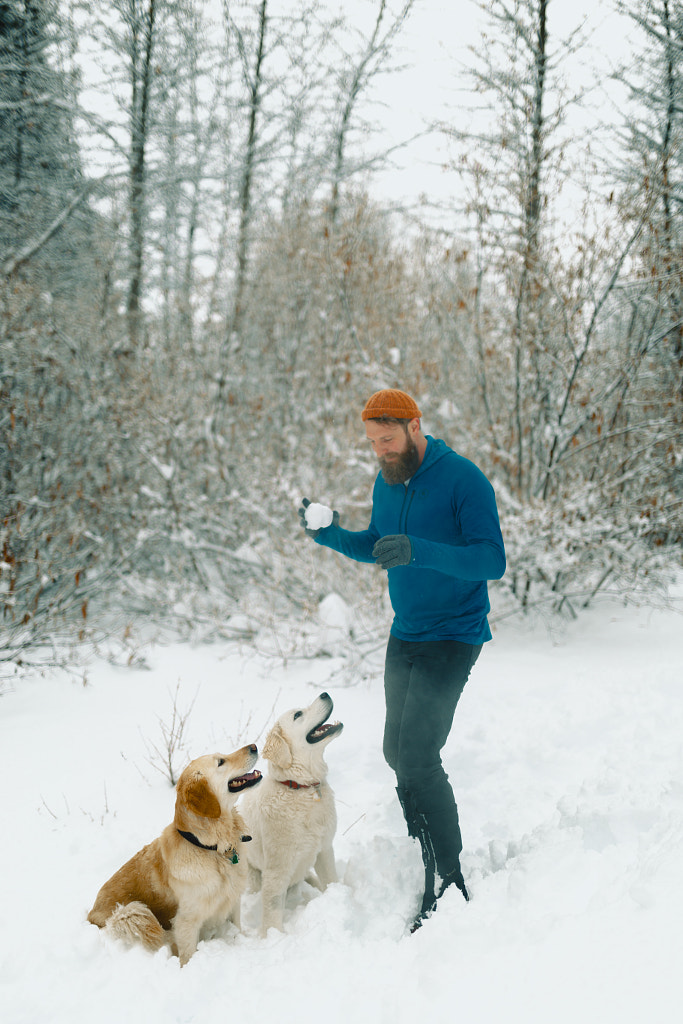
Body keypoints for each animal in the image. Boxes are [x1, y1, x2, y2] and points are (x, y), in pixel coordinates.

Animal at [241, 692, 348, 933]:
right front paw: (272, 936)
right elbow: (272, 910)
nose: (325, 693)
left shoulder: (324, 849)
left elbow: (330, 880)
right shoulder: (276, 869)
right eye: (298, 715)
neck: (300, 788)